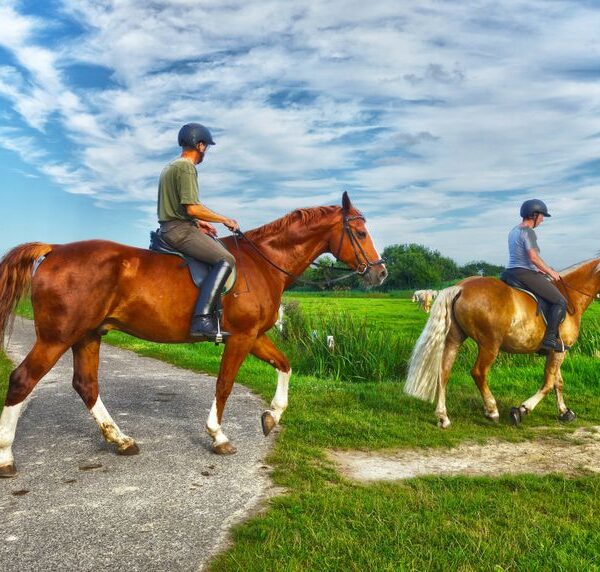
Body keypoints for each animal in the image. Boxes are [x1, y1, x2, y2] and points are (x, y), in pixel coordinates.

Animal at [0, 193, 384, 478]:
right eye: (361, 233)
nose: (380, 273)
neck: (263, 263)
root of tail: (54, 249)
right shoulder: (241, 337)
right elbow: (225, 384)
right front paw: (218, 435)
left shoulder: (255, 336)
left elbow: (285, 364)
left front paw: (271, 416)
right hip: (57, 338)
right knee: (22, 380)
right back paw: (6, 457)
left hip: (88, 335)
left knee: (86, 384)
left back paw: (121, 441)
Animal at [404, 256, 600, 426]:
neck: (570, 296)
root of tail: (461, 288)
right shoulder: (560, 350)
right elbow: (548, 383)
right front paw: (522, 410)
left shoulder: (556, 350)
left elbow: (557, 382)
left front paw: (564, 412)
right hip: (490, 345)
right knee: (478, 372)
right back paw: (492, 410)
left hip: (454, 340)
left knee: (443, 372)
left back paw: (443, 417)